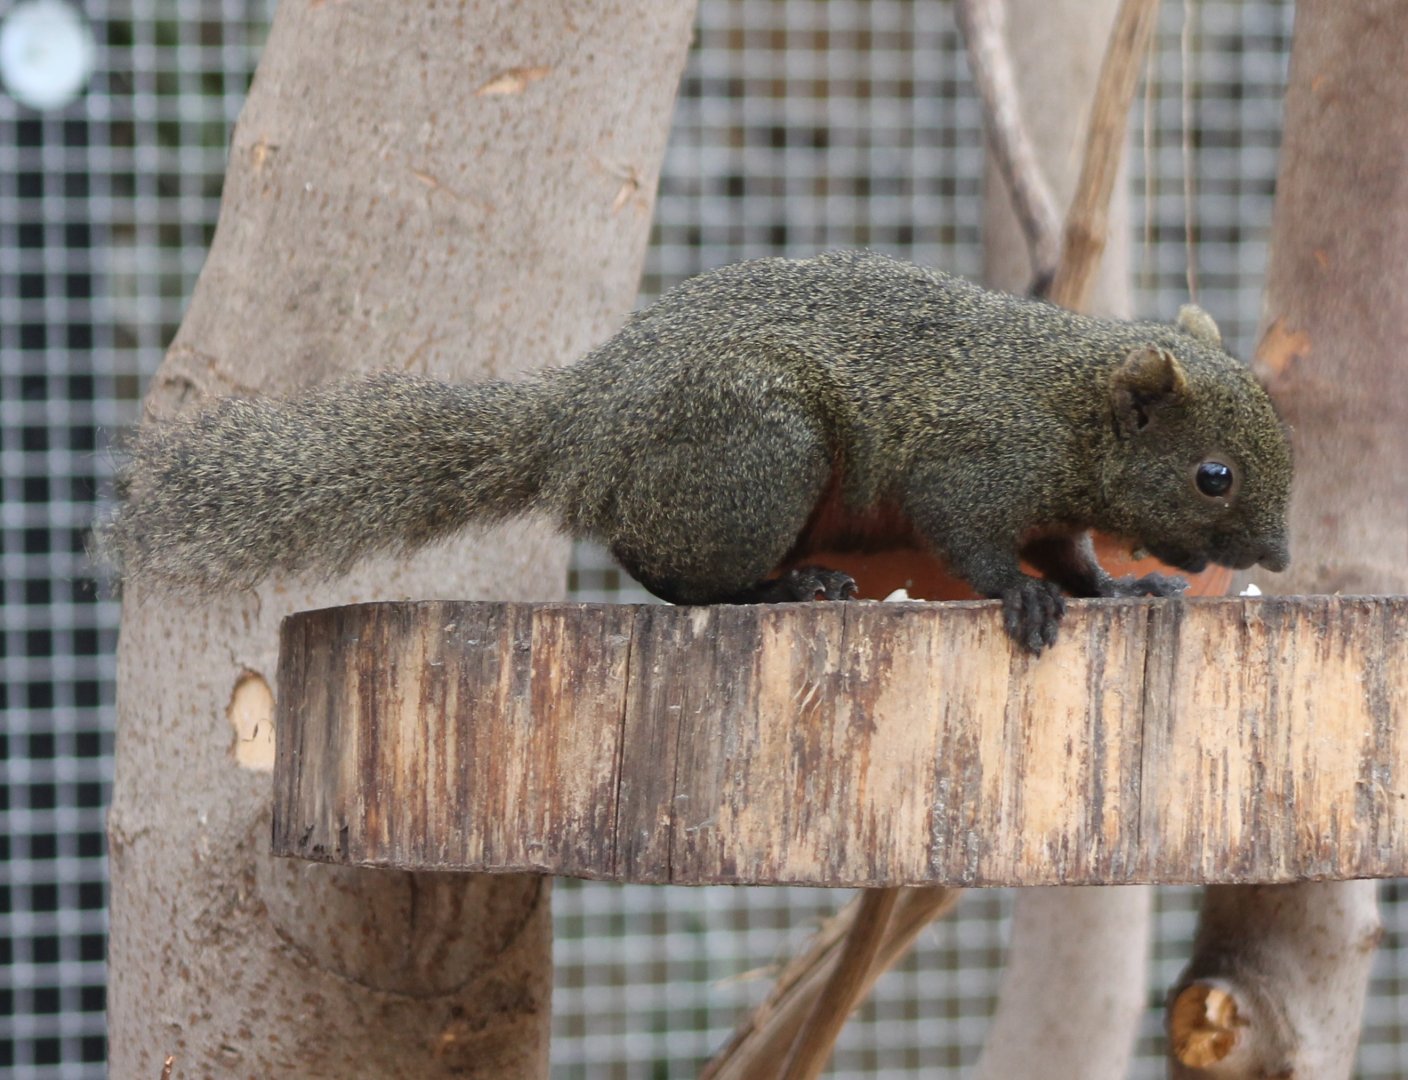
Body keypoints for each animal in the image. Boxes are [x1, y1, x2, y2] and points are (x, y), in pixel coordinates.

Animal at [101, 249, 1292, 652]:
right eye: (1214, 476)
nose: (1276, 559)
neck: (1068, 403)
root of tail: (582, 425)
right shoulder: (977, 461)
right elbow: (974, 540)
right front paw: (1027, 603)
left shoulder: (1057, 507)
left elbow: (1077, 559)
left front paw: (1117, 595)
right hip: (759, 448)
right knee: (673, 574)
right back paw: (790, 588)